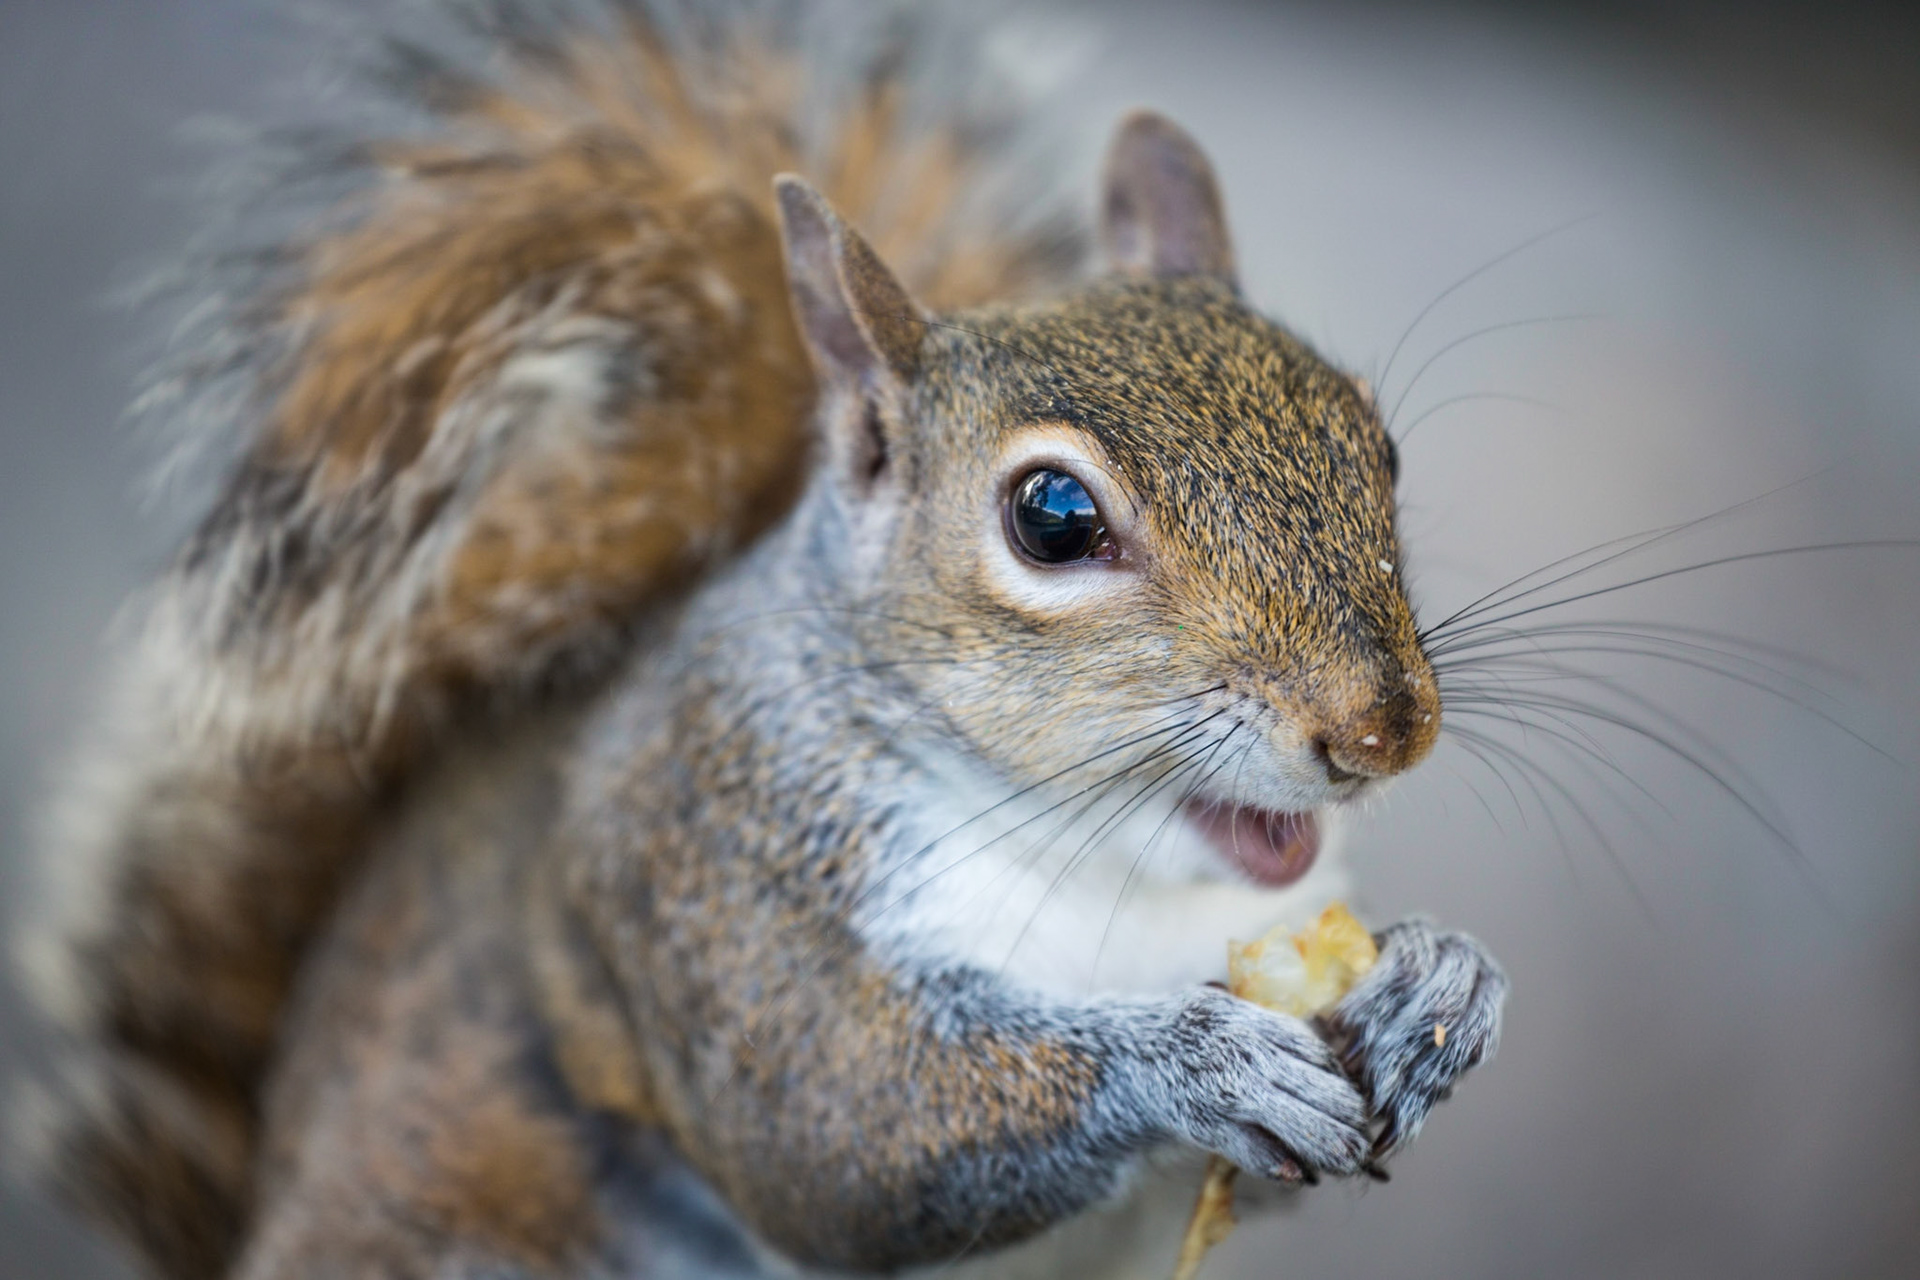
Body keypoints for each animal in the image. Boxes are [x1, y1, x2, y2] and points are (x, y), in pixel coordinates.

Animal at [14, 3, 1508, 1278]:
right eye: (1054, 516)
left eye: (1372, 438)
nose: (1385, 725)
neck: (1108, 863)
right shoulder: (707, 866)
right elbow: (836, 1121)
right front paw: (1199, 1060)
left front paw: (1442, 986)